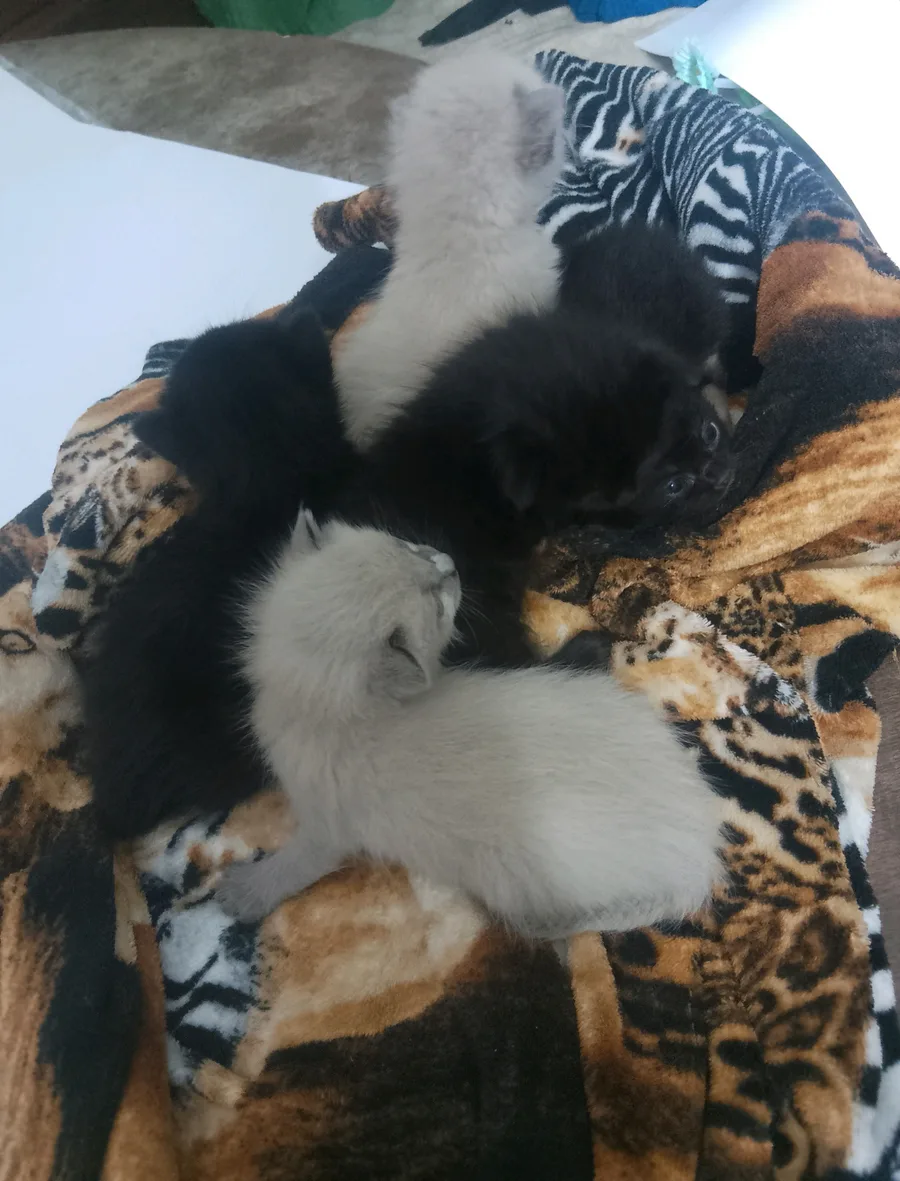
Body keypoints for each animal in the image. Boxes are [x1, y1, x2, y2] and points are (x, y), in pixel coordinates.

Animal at [217, 516, 725, 937]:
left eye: (409, 546)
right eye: (438, 605)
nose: (451, 563)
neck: (316, 702)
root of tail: (698, 852)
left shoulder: (328, 824)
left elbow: (297, 864)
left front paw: (244, 892)